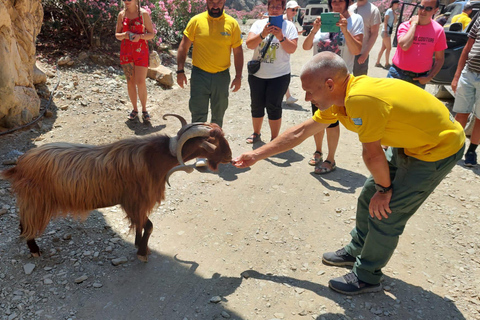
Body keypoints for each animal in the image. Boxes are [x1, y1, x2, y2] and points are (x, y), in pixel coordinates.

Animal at [0, 115, 232, 262]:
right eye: (212, 141)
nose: (230, 158)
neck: (154, 158)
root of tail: (20, 165)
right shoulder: (135, 201)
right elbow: (149, 226)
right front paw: (142, 252)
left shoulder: (137, 205)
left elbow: (141, 225)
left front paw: (138, 244)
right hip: (36, 200)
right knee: (25, 225)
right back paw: (35, 250)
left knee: (22, 224)